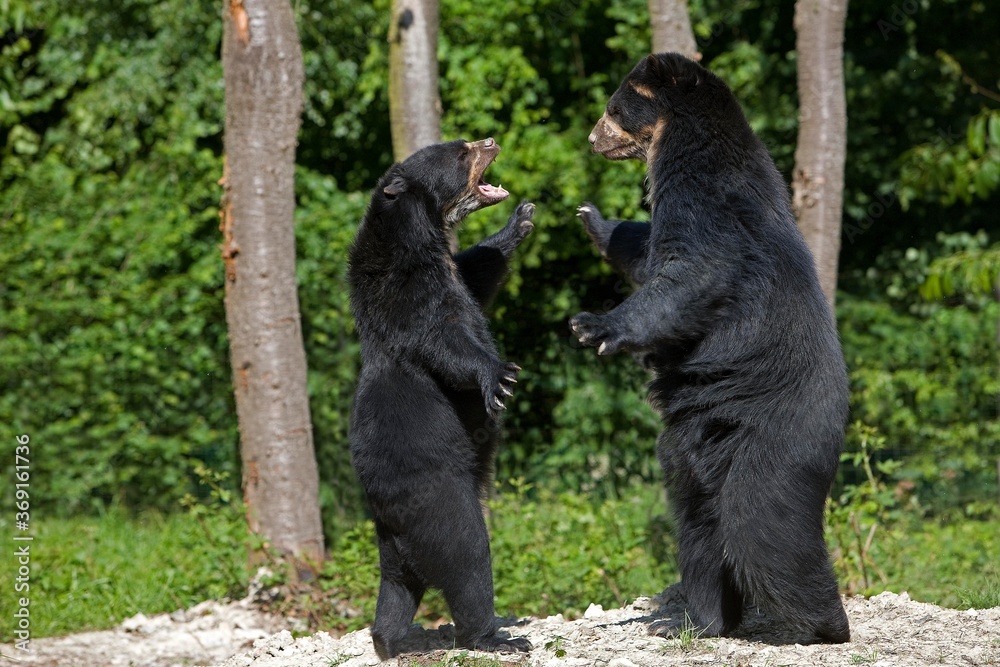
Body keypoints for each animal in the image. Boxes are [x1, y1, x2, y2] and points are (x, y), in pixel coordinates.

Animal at [348, 137, 534, 660]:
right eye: (459, 152)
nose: (490, 140)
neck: (420, 239)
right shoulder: (404, 292)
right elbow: (445, 339)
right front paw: (500, 376)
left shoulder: (451, 272)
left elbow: (478, 273)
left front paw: (519, 222)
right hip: (442, 502)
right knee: (468, 559)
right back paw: (496, 636)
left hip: (393, 550)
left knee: (395, 590)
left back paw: (388, 640)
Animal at [569, 53, 851, 644]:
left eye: (613, 107)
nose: (592, 139)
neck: (680, 147)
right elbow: (646, 253)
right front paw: (594, 219)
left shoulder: (710, 205)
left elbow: (691, 273)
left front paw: (593, 325)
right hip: (691, 448)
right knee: (698, 526)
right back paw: (701, 619)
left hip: (775, 438)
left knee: (760, 522)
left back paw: (819, 622)